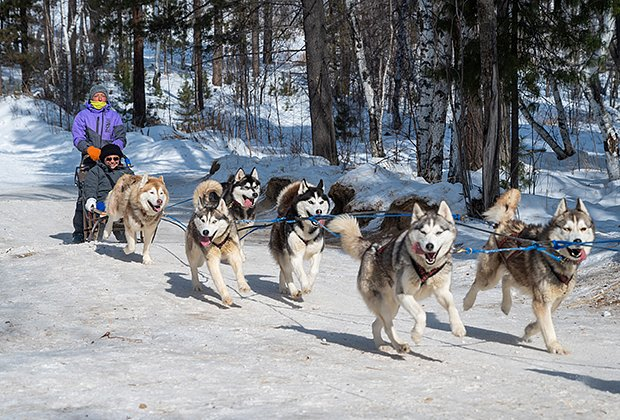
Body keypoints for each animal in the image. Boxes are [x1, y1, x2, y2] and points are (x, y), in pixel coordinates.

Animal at [330, 202, 464, 352]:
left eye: (438, 232)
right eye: (423, 232)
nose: (429, 246)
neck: (426, 268)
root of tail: (371, 248)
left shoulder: (442, 292)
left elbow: (452, 307)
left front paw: (458, 328)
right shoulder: (403, 294)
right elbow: (421, 314)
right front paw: (416, 334)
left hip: (392, 306)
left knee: (377, 324)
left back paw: (383, 344)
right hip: (387, 303)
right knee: (388, 326)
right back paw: (399, 344)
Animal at [464, 190, 596, 354]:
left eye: (583, 229)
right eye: (567, 229)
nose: (577, 241)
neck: (557, 259)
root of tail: (506, 223)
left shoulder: (555, 299)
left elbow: (543, 322)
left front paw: (529, 330)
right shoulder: (541, 301)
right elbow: (548, 325)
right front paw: (554, 346)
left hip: (521, 278)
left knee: (506, 280)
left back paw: (506, 305)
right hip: (490, 278)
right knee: (478, 284)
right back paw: (467, 302)